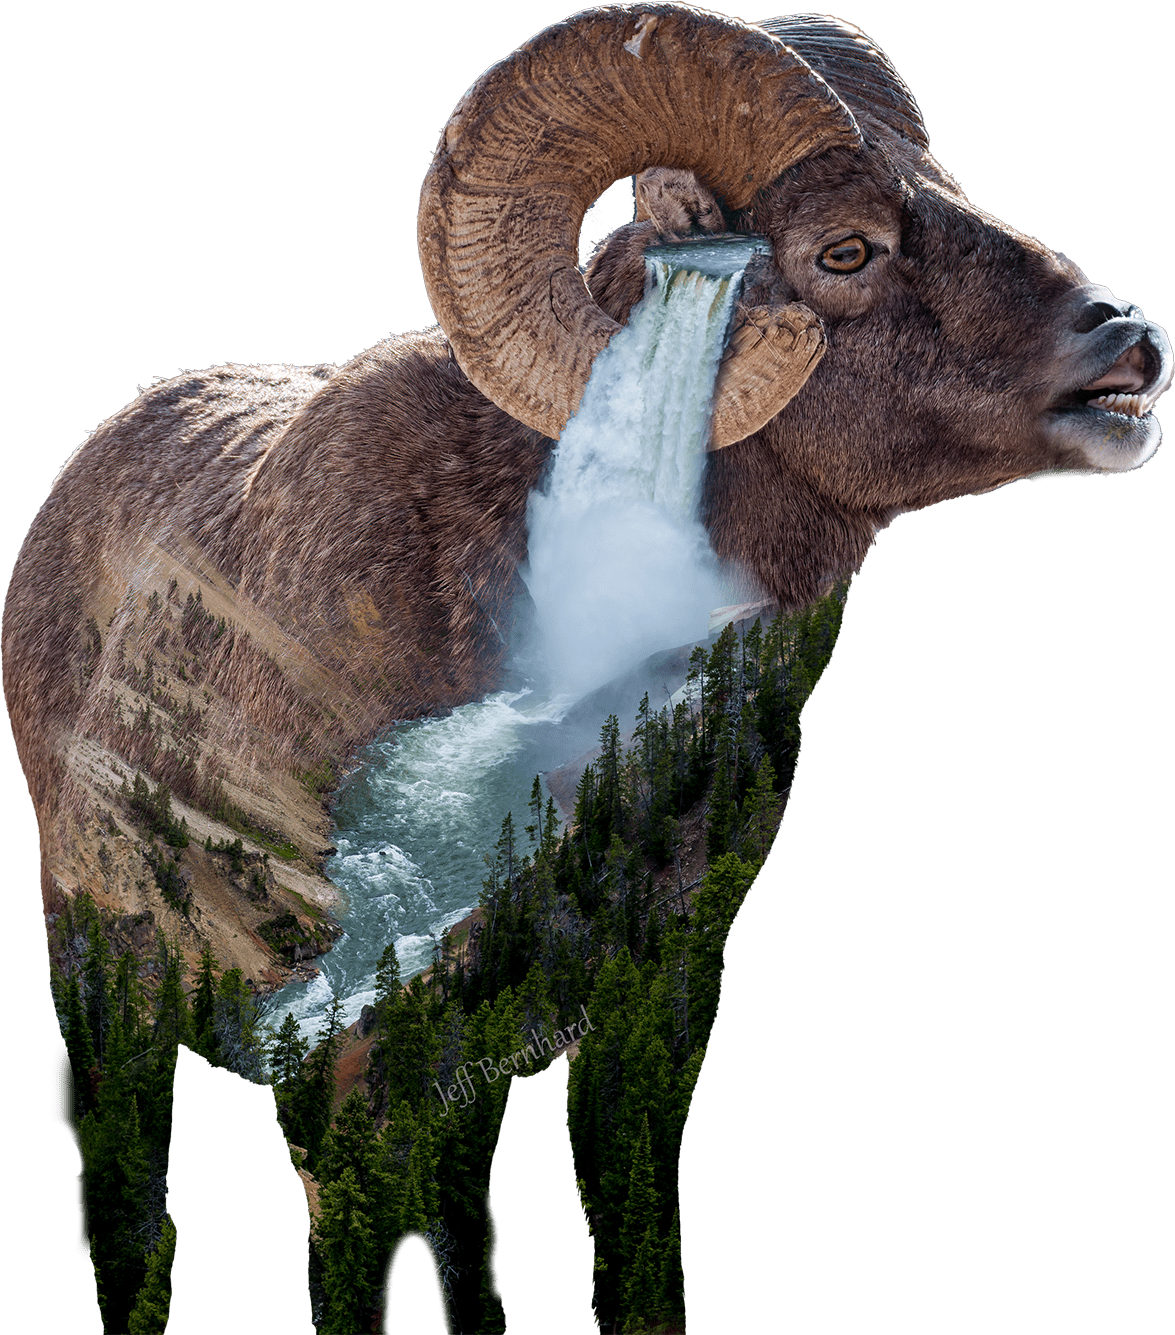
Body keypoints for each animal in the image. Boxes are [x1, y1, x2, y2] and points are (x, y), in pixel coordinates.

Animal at [2, 5, 1171, 1332]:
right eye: (846, 249)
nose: (1126, 348)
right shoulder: (345, 1058)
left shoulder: (648, 997)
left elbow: (626, 1242)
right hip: (114, 999)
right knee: (135, 1227)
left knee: (461, 1225)